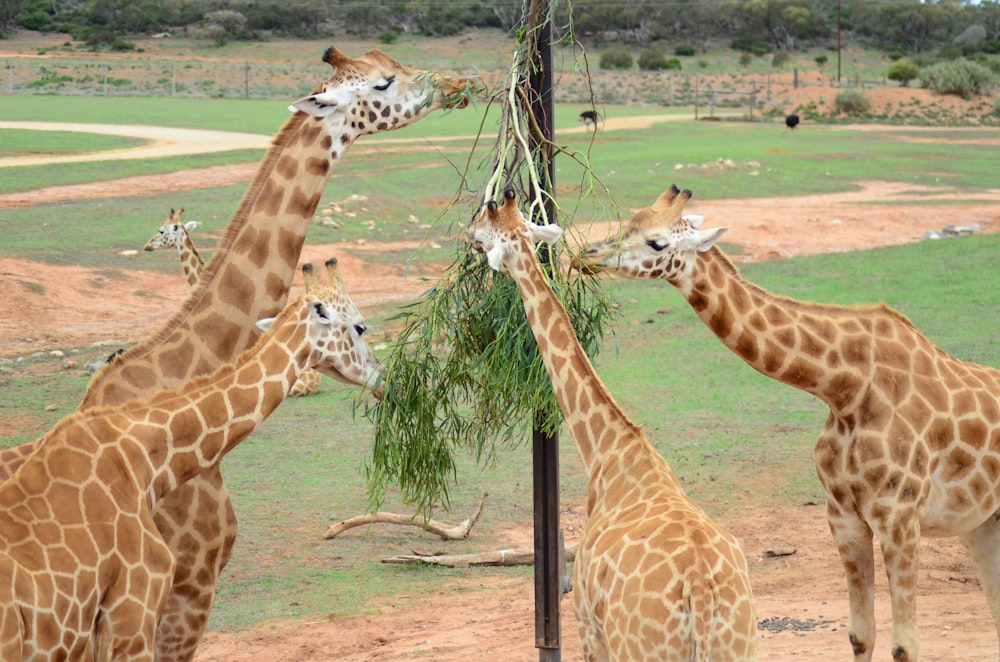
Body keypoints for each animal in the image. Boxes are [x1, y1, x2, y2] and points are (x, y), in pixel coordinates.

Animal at [462, 189, 756, 660]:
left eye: (488, 222)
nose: (467, 234)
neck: (608, 450)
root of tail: (700, 594)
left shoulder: (587, 624)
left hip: (637, 647)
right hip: (741, 644)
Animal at [576, 183, 1000, 662]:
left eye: (657, 243)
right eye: (630, 223)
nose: (586, 254)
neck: (845, 387)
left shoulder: (900, 519)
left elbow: (904, 645)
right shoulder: (844, 518)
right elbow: (861, 634)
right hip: (984, 523)